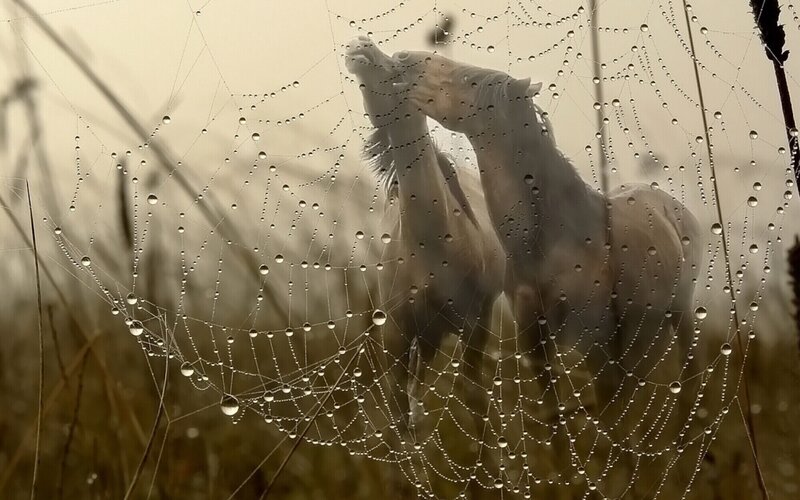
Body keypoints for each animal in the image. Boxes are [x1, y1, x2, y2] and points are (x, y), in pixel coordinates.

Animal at [344, 38, 505, 440]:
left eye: (399, 68)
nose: (359, 44)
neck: (433, 246)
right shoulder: (396, 333)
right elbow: (399, 413)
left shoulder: (473, 321)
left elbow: (475, 398)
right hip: (427, 337)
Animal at [390, 49, 705, 494]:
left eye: (469, 79)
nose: (404, 59)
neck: (554, 240)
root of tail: (673, 207)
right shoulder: (534, 338)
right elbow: (555, 419)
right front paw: (569, 478)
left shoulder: (598, 345)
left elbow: (609, 423)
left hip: (680, 318)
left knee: (685, 388)